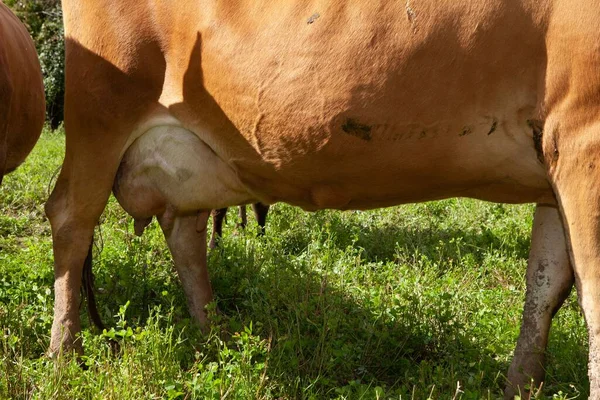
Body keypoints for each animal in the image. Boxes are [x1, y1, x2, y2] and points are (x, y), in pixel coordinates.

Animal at [45, 1, 596, 396]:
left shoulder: (554, 165)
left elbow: (546, 287)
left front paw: (521, 386)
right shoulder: (582, 139)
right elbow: (590, 294)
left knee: (185, 232)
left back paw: (216, 336)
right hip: (100, 114)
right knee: (71, 217)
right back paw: (63, 353)